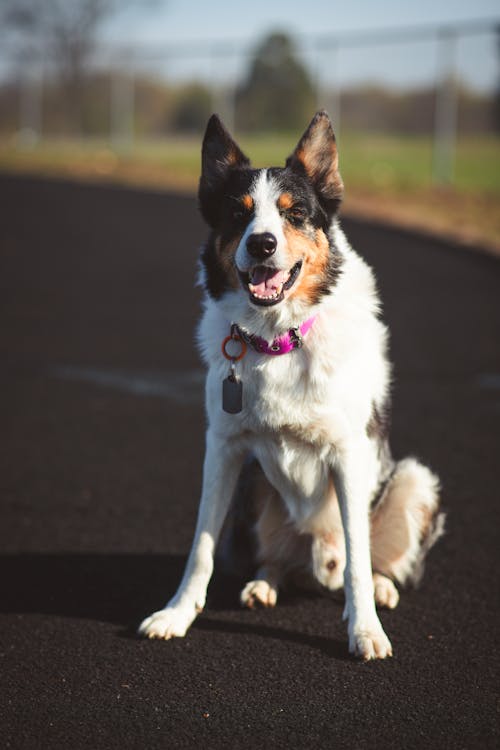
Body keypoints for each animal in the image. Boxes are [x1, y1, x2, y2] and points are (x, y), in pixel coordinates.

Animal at [138, 108, 446, 660]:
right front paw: (177, 614)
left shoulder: (350, 454)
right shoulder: (223, 450)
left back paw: (381, 588)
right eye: (237, 214)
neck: (277, 340)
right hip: (253, 486)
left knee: (370, 562)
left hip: (413, 478)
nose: (261, 243)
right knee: (277, 561)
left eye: (295, 213)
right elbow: (201, 547)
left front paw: (365, 631)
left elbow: (359, 559)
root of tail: (315, 565)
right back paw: (264, 583)